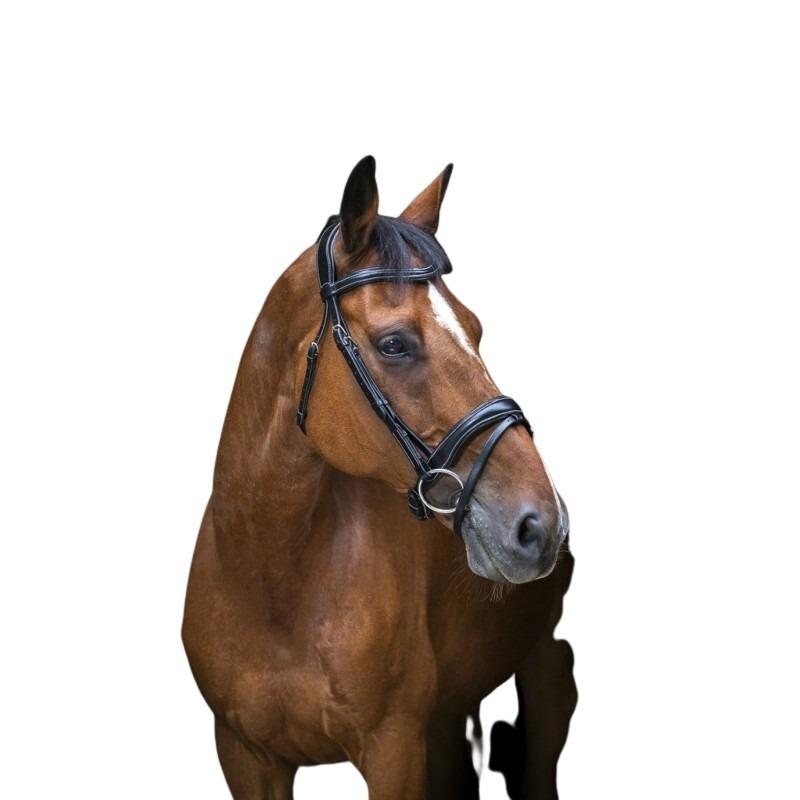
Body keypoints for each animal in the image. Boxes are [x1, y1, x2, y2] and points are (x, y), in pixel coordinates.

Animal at [182, 156, 576, 800]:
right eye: (395, 344)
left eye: (476, 329)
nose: (541, 524)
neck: (274, 582)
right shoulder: (244, 754)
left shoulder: (393, 749)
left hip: (541, 666)